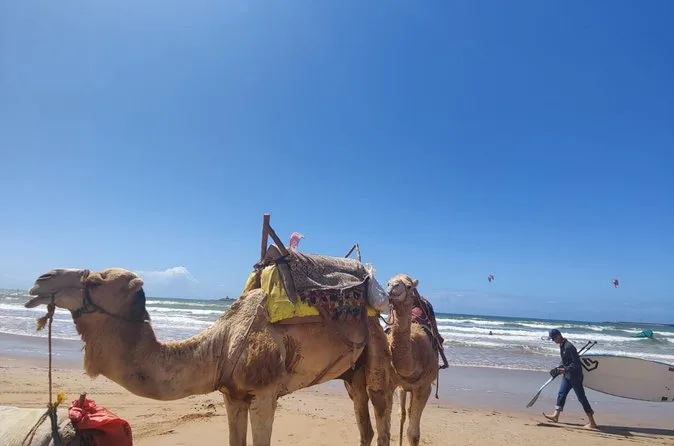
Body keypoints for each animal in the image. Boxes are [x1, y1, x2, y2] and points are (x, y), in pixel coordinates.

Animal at [25, 267, 394, 446]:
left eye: (98, 280)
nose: (40, 280)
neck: (222, 344)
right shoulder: (233, 395)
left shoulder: (265, 393)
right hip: (350, 374)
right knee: (364, 425)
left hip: (377, 352)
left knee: (382, 417)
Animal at [385, 274, 441, 446]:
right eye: (388, 282)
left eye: (409, 286)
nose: (392, 288)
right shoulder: (391, 384)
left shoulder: (424, 387)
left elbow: (414, 434)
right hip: (402, 388)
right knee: (402, 414)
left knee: (408, 414)